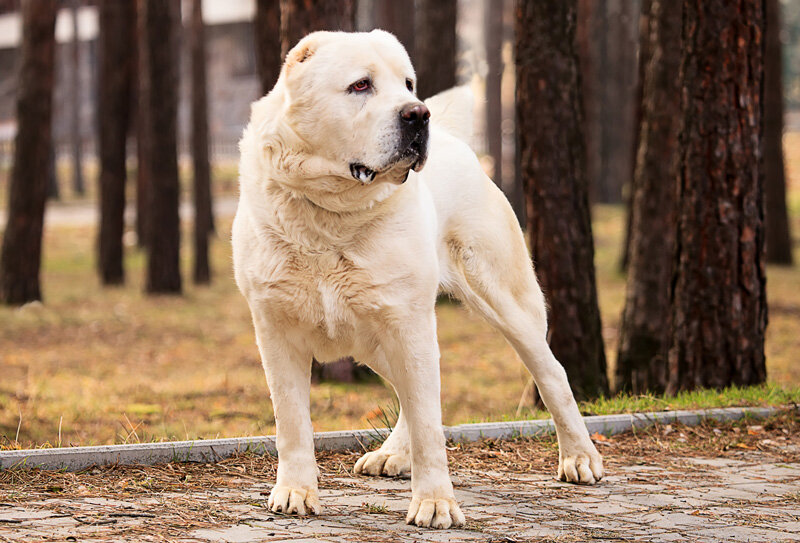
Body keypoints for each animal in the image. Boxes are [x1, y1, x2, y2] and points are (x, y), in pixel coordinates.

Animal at [234, 30, 604, 532]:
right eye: (360, 85)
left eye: (407, 83)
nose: (417, 112)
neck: (331, 214)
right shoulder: (276, 330)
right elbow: (291, 421)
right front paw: (295, 491)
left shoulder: (409, 324)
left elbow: (430, 424)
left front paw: (435, 504)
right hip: (376, 337)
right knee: (410, 394)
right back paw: (391, 455)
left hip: (503, 304)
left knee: (551, 375)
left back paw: (580, 458)